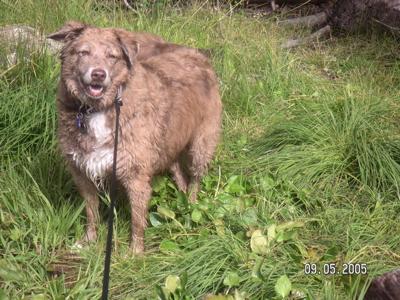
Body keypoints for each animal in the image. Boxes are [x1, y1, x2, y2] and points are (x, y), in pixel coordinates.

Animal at [48, 22, 222, 254]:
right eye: (83, 52)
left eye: (112, 56)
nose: (98, 75)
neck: (98, 108)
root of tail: (196, 54)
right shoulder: (82, 171)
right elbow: (91, 212)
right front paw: (88, 240)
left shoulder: (135, 175)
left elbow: (137, 220)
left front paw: (135, 253)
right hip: (167, 140)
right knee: (176, 167)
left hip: (201, 145)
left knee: (195, 178)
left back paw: (191, 205)